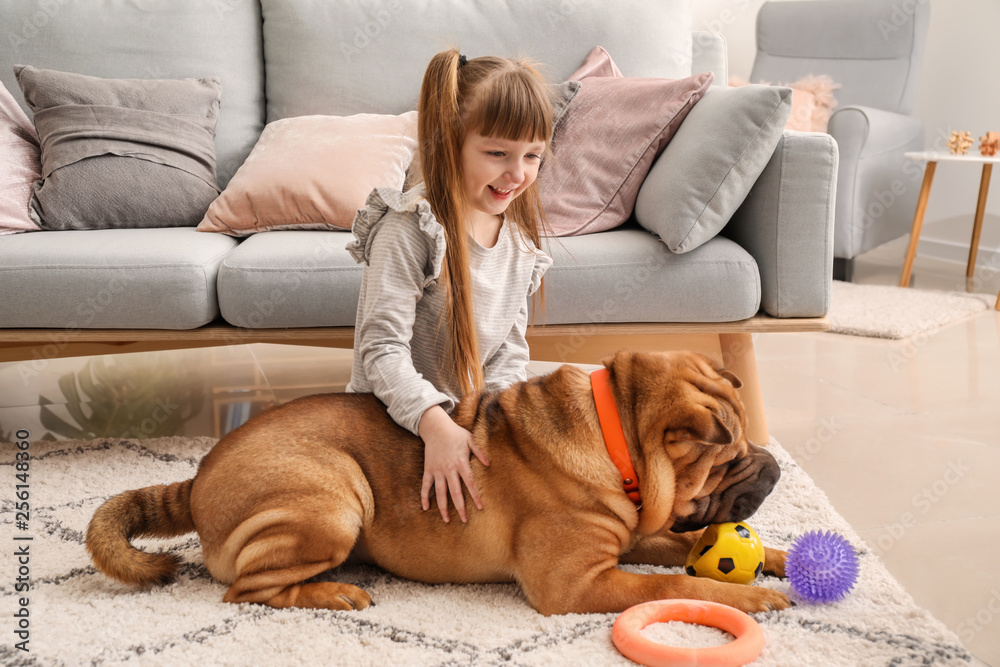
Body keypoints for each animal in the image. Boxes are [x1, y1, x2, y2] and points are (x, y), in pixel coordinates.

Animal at [86, 350, 788, 616]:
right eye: (731, 454)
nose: (776, 466)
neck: (614, 430)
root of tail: (197, 477)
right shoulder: (578, 583)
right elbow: (673, 582)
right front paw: (751, 598)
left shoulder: (635, 533)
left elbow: (684, 550)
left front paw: (779, 560)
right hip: (336, 498)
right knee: (248, 592)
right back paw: (336, 592)